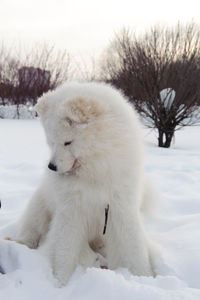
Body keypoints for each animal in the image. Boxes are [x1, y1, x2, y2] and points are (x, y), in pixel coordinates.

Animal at [13, 82, 155, 286]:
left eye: (68, 142)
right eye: (51, 141)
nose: (52, 167)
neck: (95, 171)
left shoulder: (120, 207)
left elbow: (132, 246)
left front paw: (143, 277)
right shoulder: (70, 211)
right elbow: (65, 250)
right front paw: (60, 283)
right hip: (39, 208)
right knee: (33, 231)